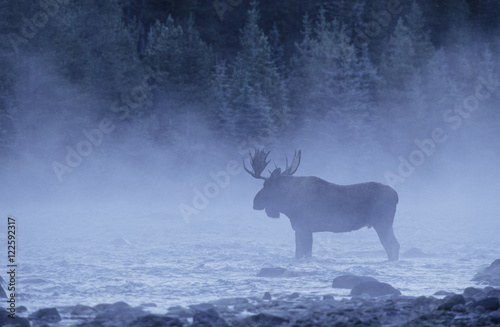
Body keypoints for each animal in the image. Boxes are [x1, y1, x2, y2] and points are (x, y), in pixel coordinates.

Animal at [244, 151, 400, 262]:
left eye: (265, 184)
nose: (255, 202)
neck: (288, 204)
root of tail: (397, 196)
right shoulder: (299, 228)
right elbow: (298, 253)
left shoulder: (305, 227)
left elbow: (306, 253)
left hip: (383, 223)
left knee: (393, 245)